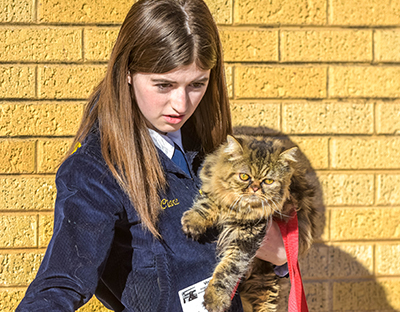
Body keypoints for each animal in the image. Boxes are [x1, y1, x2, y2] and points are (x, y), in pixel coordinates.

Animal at [182, 135, 318, 312]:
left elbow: (229, 269)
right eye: (244, 177)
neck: (239, 208)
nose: (254, 188)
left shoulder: (249, 236)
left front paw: (216, 298)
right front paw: (193, 221)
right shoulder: (213, 189)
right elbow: (206, 204)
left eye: (268, 181)